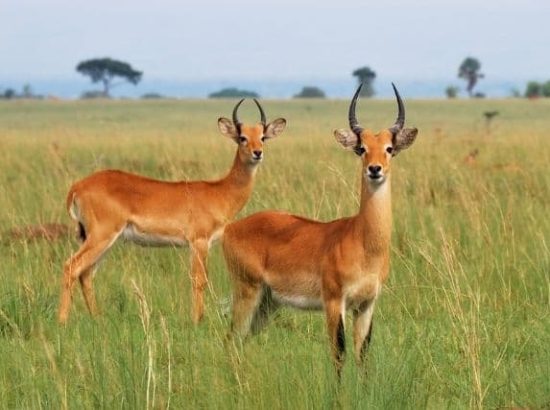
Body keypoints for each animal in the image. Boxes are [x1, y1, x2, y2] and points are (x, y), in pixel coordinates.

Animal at [59, 98, 288, 324]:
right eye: (242, 137)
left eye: (262, 137)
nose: (258, 153)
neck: (220, 192)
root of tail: (77, 186)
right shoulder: (199, 242)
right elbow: (199, 280)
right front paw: (197, 321)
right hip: (102, 236)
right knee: (71, 266)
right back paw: (62, 321)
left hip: (101, 240)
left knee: (86, 274)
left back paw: (98, 318)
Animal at [222, 83, 420, 374]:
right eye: (361, 148)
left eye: (390, 148)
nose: (375, 169)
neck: (364, 243)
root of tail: (231, 228)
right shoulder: (334, 301)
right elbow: (339, 353)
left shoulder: (366, 304)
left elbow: (363, 355)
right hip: (248, 291)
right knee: (231, 338)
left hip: (268, 303)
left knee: (241, 340)